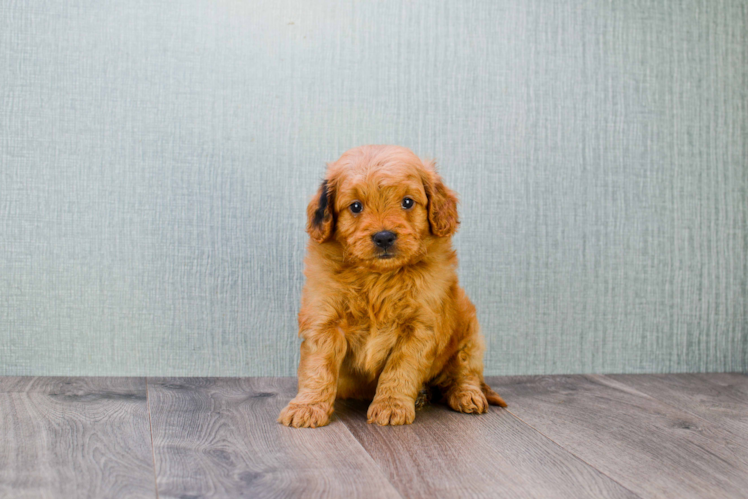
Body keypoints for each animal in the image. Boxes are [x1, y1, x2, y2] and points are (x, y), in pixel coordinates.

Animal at [280, 146, 508, 428]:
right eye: (355, 206)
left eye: (407, 202)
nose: (384, 237)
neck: (378, 277)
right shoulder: (324, 321)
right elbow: (318, 368)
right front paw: (307, 407)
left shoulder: (419, 328)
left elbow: (399, 369)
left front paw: (390, 406)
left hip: (469, 330)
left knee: (465, 372)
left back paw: (467, 395)